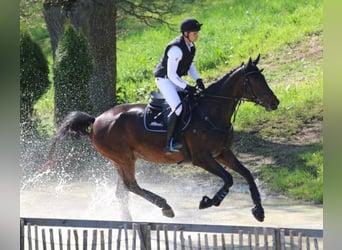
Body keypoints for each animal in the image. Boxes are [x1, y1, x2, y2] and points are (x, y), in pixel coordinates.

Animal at [48, 54, 280, 221]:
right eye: (254, 80)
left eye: (263, 77)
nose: (275, 102)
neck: (211, 113)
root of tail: (96, 120)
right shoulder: (202, 158)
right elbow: (229, 179)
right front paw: (208, 201)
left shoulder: (222, 153)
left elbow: (247, 175)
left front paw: (259, 211)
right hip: (124, 158)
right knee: (132, 186)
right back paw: (165, 207)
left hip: (119, 161)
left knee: (123, 191)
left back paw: (129, 222)